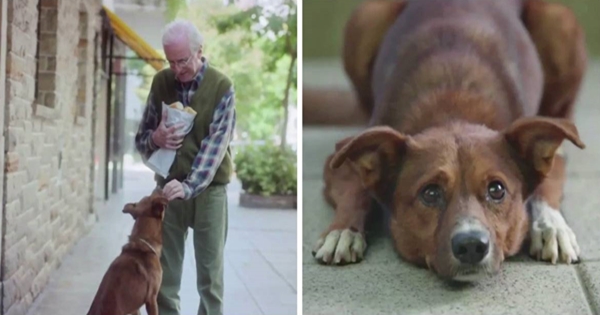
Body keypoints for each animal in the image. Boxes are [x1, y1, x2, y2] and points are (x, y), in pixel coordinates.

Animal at [312, 0, 588, 284]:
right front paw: (342, 231)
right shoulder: (343, 154)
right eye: (430, 193)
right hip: (366, 17)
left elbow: (546, 186)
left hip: (558, 21)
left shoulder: (552, 154)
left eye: (497, 190)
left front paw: (551, 226)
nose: (471, 245)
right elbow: (355, 189)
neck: (453, 108)